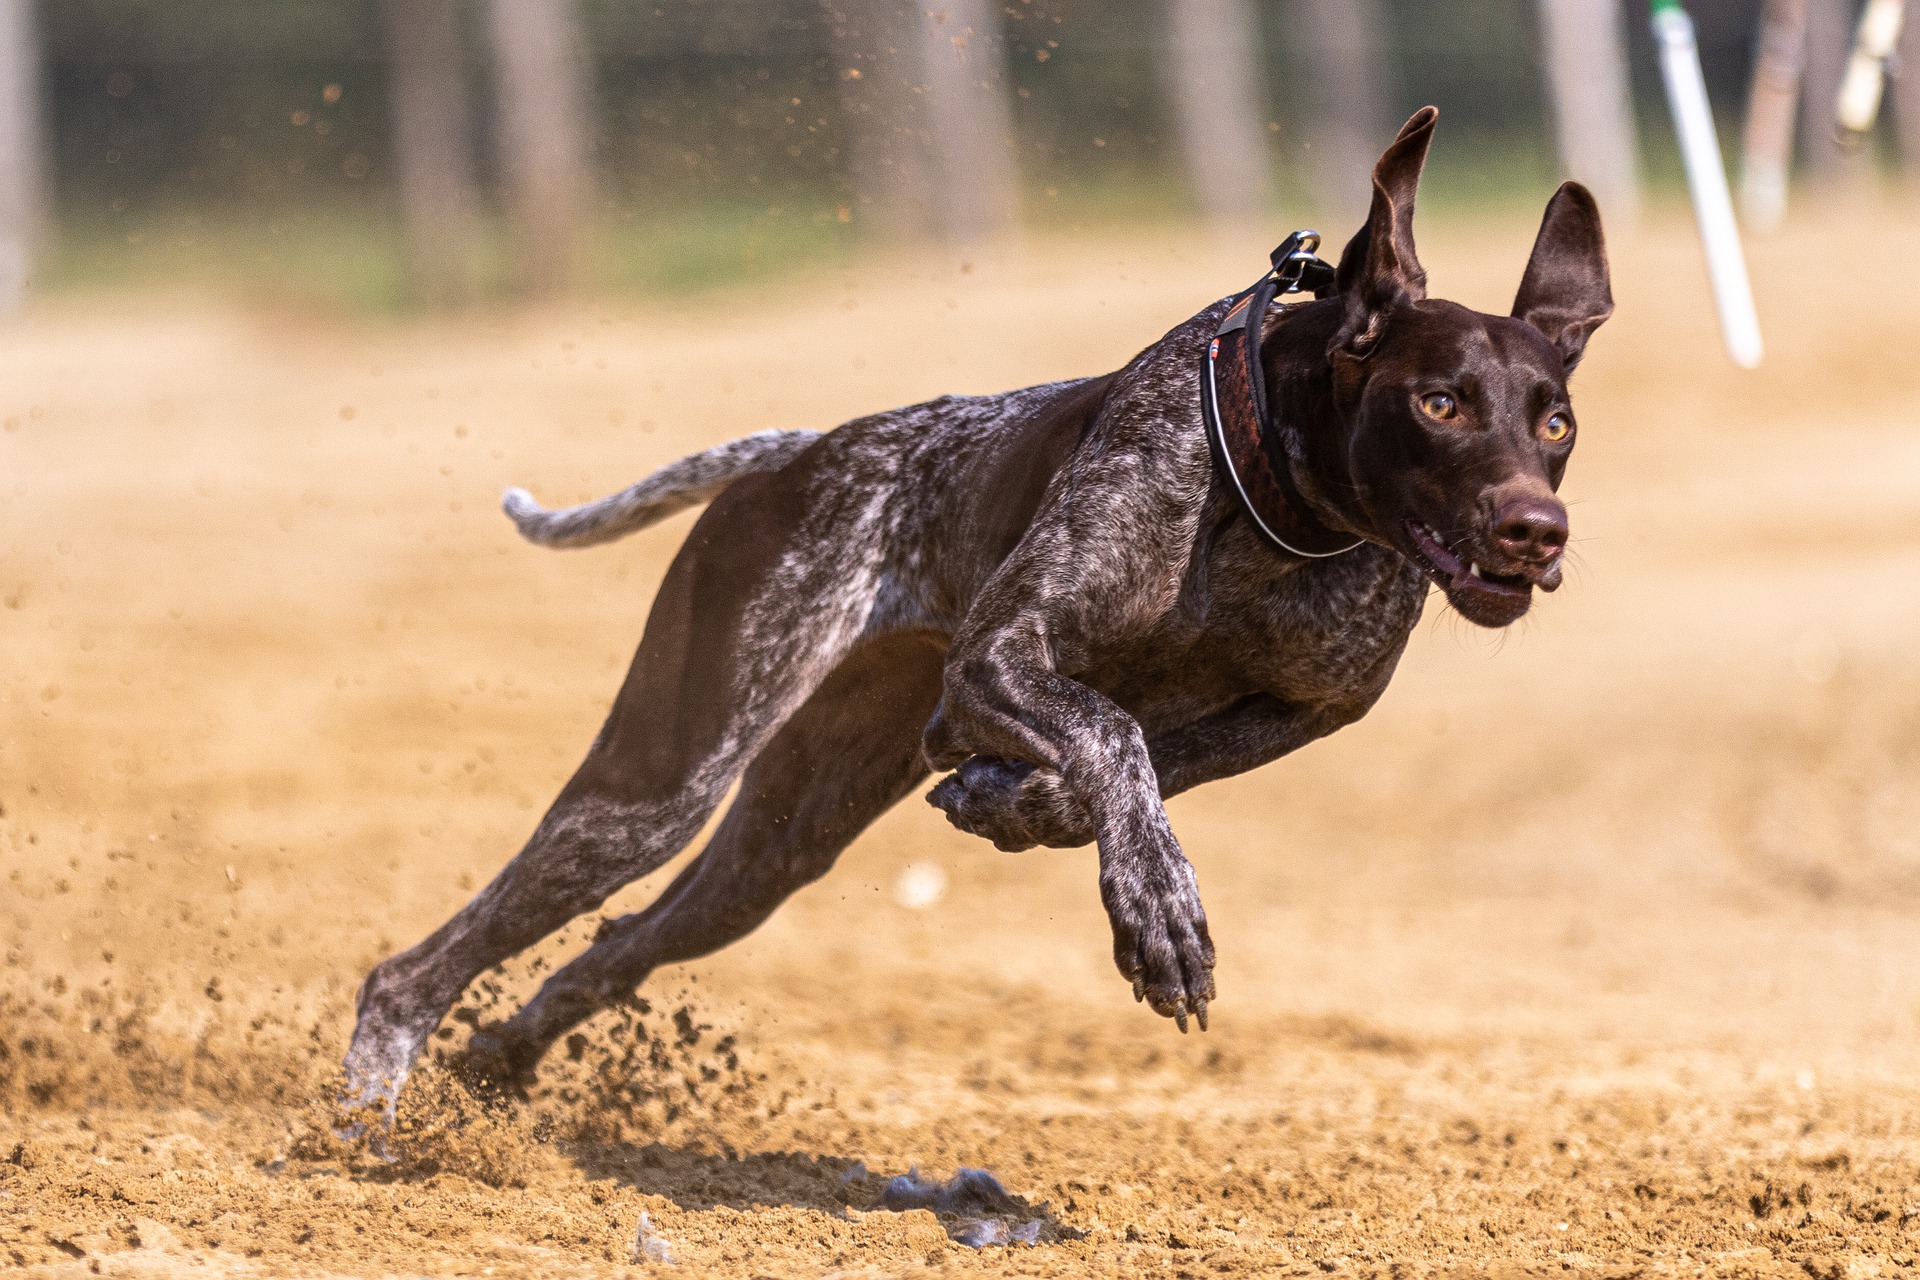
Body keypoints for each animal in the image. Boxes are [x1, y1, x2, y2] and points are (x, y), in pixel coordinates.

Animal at [341, 107, 1605, 1113]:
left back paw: (496, 1067)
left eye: (1555, 421)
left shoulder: (1299, 713)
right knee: (416, 970)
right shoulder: (1000, 654)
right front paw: (1154, 903)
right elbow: (1116, 734)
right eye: (1440, 403)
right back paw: (371, 1113)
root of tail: (796, 455)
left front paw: (1021, 807)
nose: (1537, 533)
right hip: (656, 788)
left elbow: (1127, 762)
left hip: (776, 847)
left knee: (605, 951)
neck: (1282, 503)